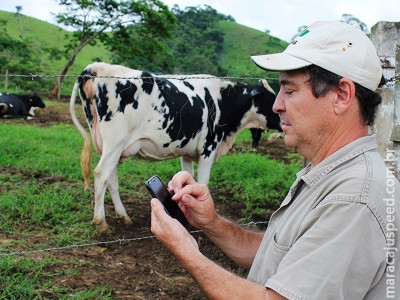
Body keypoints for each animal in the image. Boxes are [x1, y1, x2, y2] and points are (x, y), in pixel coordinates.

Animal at [69, 62, 282, 233]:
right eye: (270, 99)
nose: (281, 116)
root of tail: (96, 67)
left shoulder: (186, 152)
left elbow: (188, 178)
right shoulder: (208, 148)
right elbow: (203, 182)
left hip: (109, 146)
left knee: (111, 178)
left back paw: (124, 216)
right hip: (115, 142)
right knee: (101, 174)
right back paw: (101, 222)